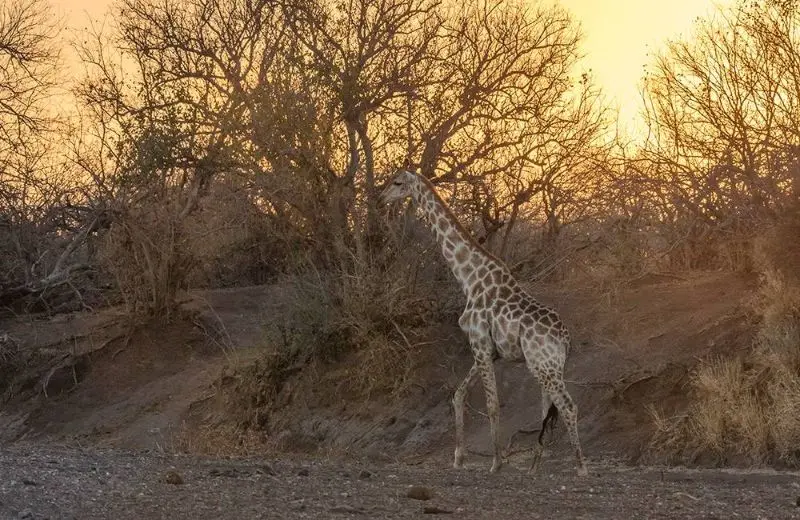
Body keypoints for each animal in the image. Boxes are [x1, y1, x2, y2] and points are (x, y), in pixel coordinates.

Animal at [378, 170, 584, 476]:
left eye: (398, 183)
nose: (381, 199)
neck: (469, 279)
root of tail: (566, 338)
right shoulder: (486, 349)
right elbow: (458, 394)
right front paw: (458, 458)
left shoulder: (478, 343)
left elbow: (492, 404)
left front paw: (496, 463)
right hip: (547, 366)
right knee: (548, 408)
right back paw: (533, 469)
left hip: (543, 366)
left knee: (568, 406)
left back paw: (581, 468)